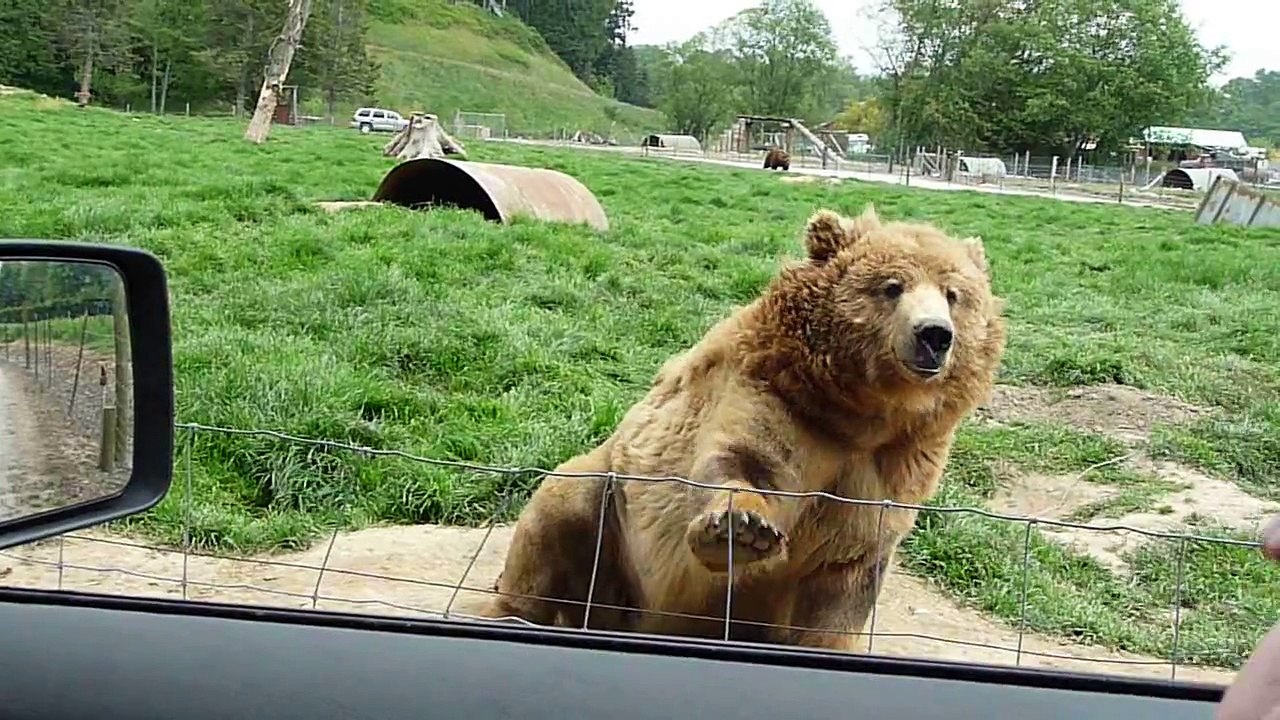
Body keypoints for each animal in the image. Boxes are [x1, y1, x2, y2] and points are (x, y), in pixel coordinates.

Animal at [477, 205, 1007, 651]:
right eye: (891, 286)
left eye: (954, 295)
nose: (934, 335)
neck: (860, 414)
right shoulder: (775, 402)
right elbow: (743, 462)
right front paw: (742, 531)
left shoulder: (895, 463)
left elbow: (847, 580)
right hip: (610, 502)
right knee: (559, 509)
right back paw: (509, 611)